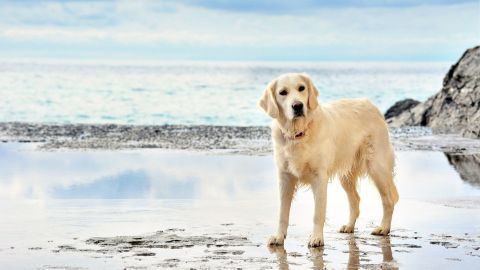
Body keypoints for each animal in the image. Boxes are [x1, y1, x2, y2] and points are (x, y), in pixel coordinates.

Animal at [260, 73, 400, 246]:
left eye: (301, 88)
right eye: (282, 92)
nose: (298, 106)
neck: (299, 134)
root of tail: (370, 104)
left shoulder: (319, 177)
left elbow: (318, 213)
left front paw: (316, 238)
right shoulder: (285, 177)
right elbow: (282, 213)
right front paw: (279, 237)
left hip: (377, 167)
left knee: (388, 200)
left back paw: (384, 228)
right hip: (346, 176)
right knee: (355, 201)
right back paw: (349, 226)